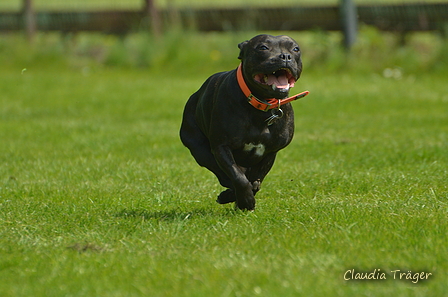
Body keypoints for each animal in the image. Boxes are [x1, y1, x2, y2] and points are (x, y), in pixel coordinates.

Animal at [178, 33, 308, 209]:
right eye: (263, 47)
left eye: (295, 49)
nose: (285, 56)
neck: (261, 104)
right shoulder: (221, 147)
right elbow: (238, 177)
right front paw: (246, 200)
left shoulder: (271, 152)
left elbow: (256, 180)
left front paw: (245, 196)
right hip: (199, 149)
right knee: (223, 175)